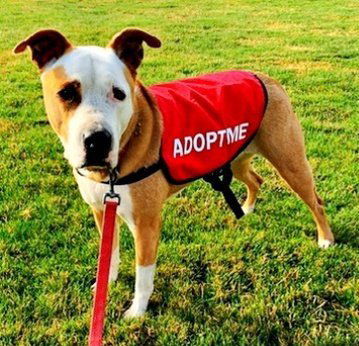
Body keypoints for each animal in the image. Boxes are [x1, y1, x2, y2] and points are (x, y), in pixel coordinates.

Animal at [14, 28, 334, 318]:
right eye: (67, 93)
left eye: (119, 94)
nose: (98, 140)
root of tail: (265, 77)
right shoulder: (102, 211)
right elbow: (110, 254)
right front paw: (106, 283)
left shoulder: (146, 223)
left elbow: (143, 274)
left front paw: (137, 312)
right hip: (238, 156)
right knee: (256, 179)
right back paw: (247, 208)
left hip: (289, 160)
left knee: (315, 201)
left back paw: (325, 239)